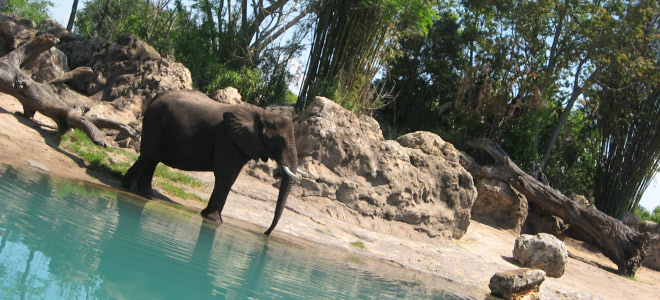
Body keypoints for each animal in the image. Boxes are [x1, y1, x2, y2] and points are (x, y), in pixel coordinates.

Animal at [122, 90, 306, 236]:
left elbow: (228, 177)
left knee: (153, 158)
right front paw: (215, 221)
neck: (263, 114)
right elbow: (226, 177)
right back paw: (130, 188)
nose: (265, 233)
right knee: (150, 156)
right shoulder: (228, 140)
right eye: (280, 140)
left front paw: (206, 215)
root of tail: (155, 97)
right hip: (156, 120)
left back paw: (145, 192)